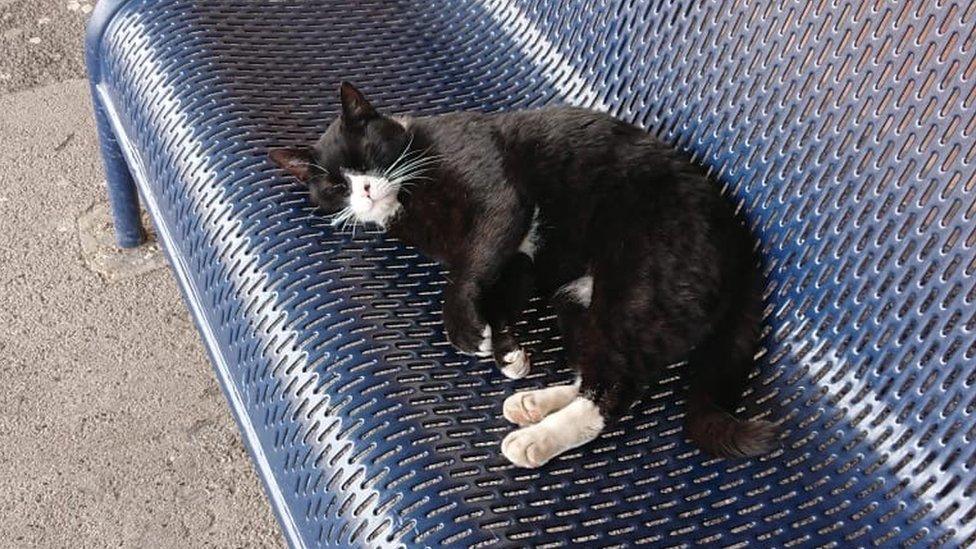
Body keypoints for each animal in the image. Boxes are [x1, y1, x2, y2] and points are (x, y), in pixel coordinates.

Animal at [272, 81, 776, 466]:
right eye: (335, 185)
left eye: (367, 155)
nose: (365, 190)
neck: (411, 201)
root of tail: (740, 242)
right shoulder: (519, 259)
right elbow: (496, 286)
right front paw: (506, 349)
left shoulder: (499, 199)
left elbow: (467, 270)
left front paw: (463, 329)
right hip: (575, 298)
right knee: (595, 368)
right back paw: (534, 404)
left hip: (637, 286)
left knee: (615, 385)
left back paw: (536, 440)